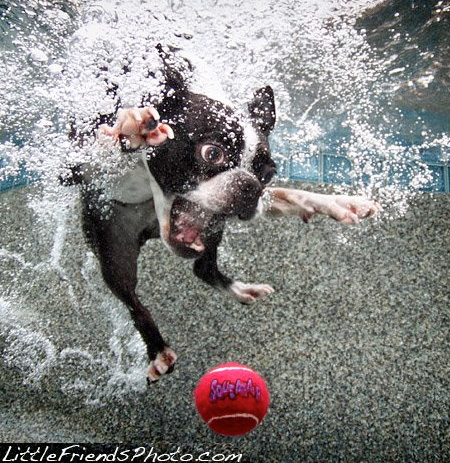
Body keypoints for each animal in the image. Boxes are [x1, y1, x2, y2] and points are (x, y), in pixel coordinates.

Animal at [68, 46, 382, 380]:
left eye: (267, 174)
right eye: (212, 153)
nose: (250, 187)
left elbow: (293, 194)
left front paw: (342, 203)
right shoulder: (75, 170)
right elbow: (104, 152)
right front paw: (135, 129)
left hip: (213, 230)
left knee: (202, 268)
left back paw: (240, 290)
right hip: (114, 247)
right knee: (131, 300)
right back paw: (158, 350)